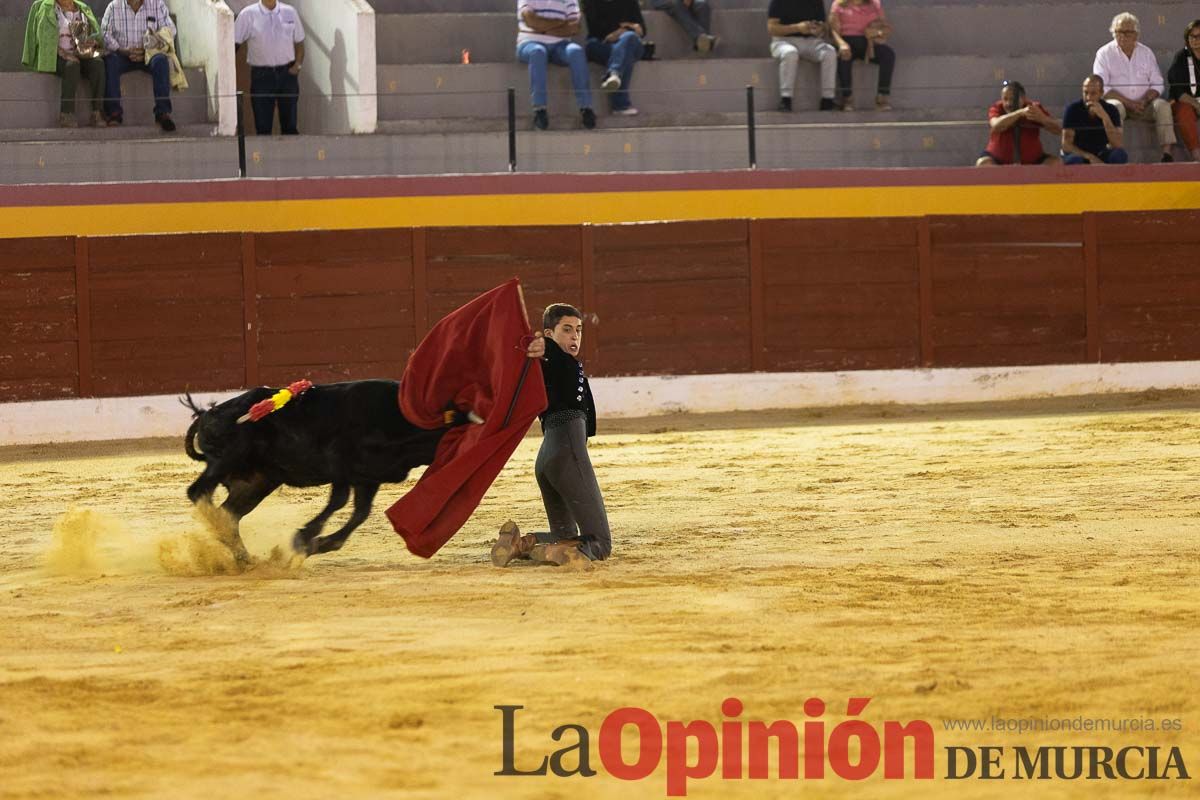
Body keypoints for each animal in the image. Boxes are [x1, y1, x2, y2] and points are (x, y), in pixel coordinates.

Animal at [182, 381, 468, 563]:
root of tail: (208, 413)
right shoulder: (340, 466)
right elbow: (340, 502)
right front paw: (304, 537)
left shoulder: (368, 478)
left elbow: (360, 513)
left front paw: (318, 544)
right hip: (226, 459)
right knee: (199, 493)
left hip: (257, 482)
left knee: (229, 513)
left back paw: (244, 557)